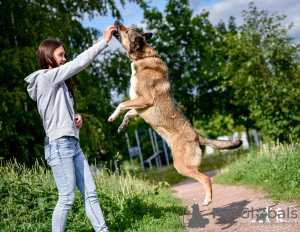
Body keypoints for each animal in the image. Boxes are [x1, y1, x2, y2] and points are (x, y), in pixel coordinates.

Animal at [108, 20, 241, 206]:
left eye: (126, 31)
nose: (115, 22)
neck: (143, 58)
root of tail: (196, 135)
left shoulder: (145, 100)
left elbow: (121, 104)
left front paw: (112, 116)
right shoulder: (139, 106)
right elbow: (128, 113)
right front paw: (121, 125)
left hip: (182, 165)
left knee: (206, 178)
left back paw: (207, 200)